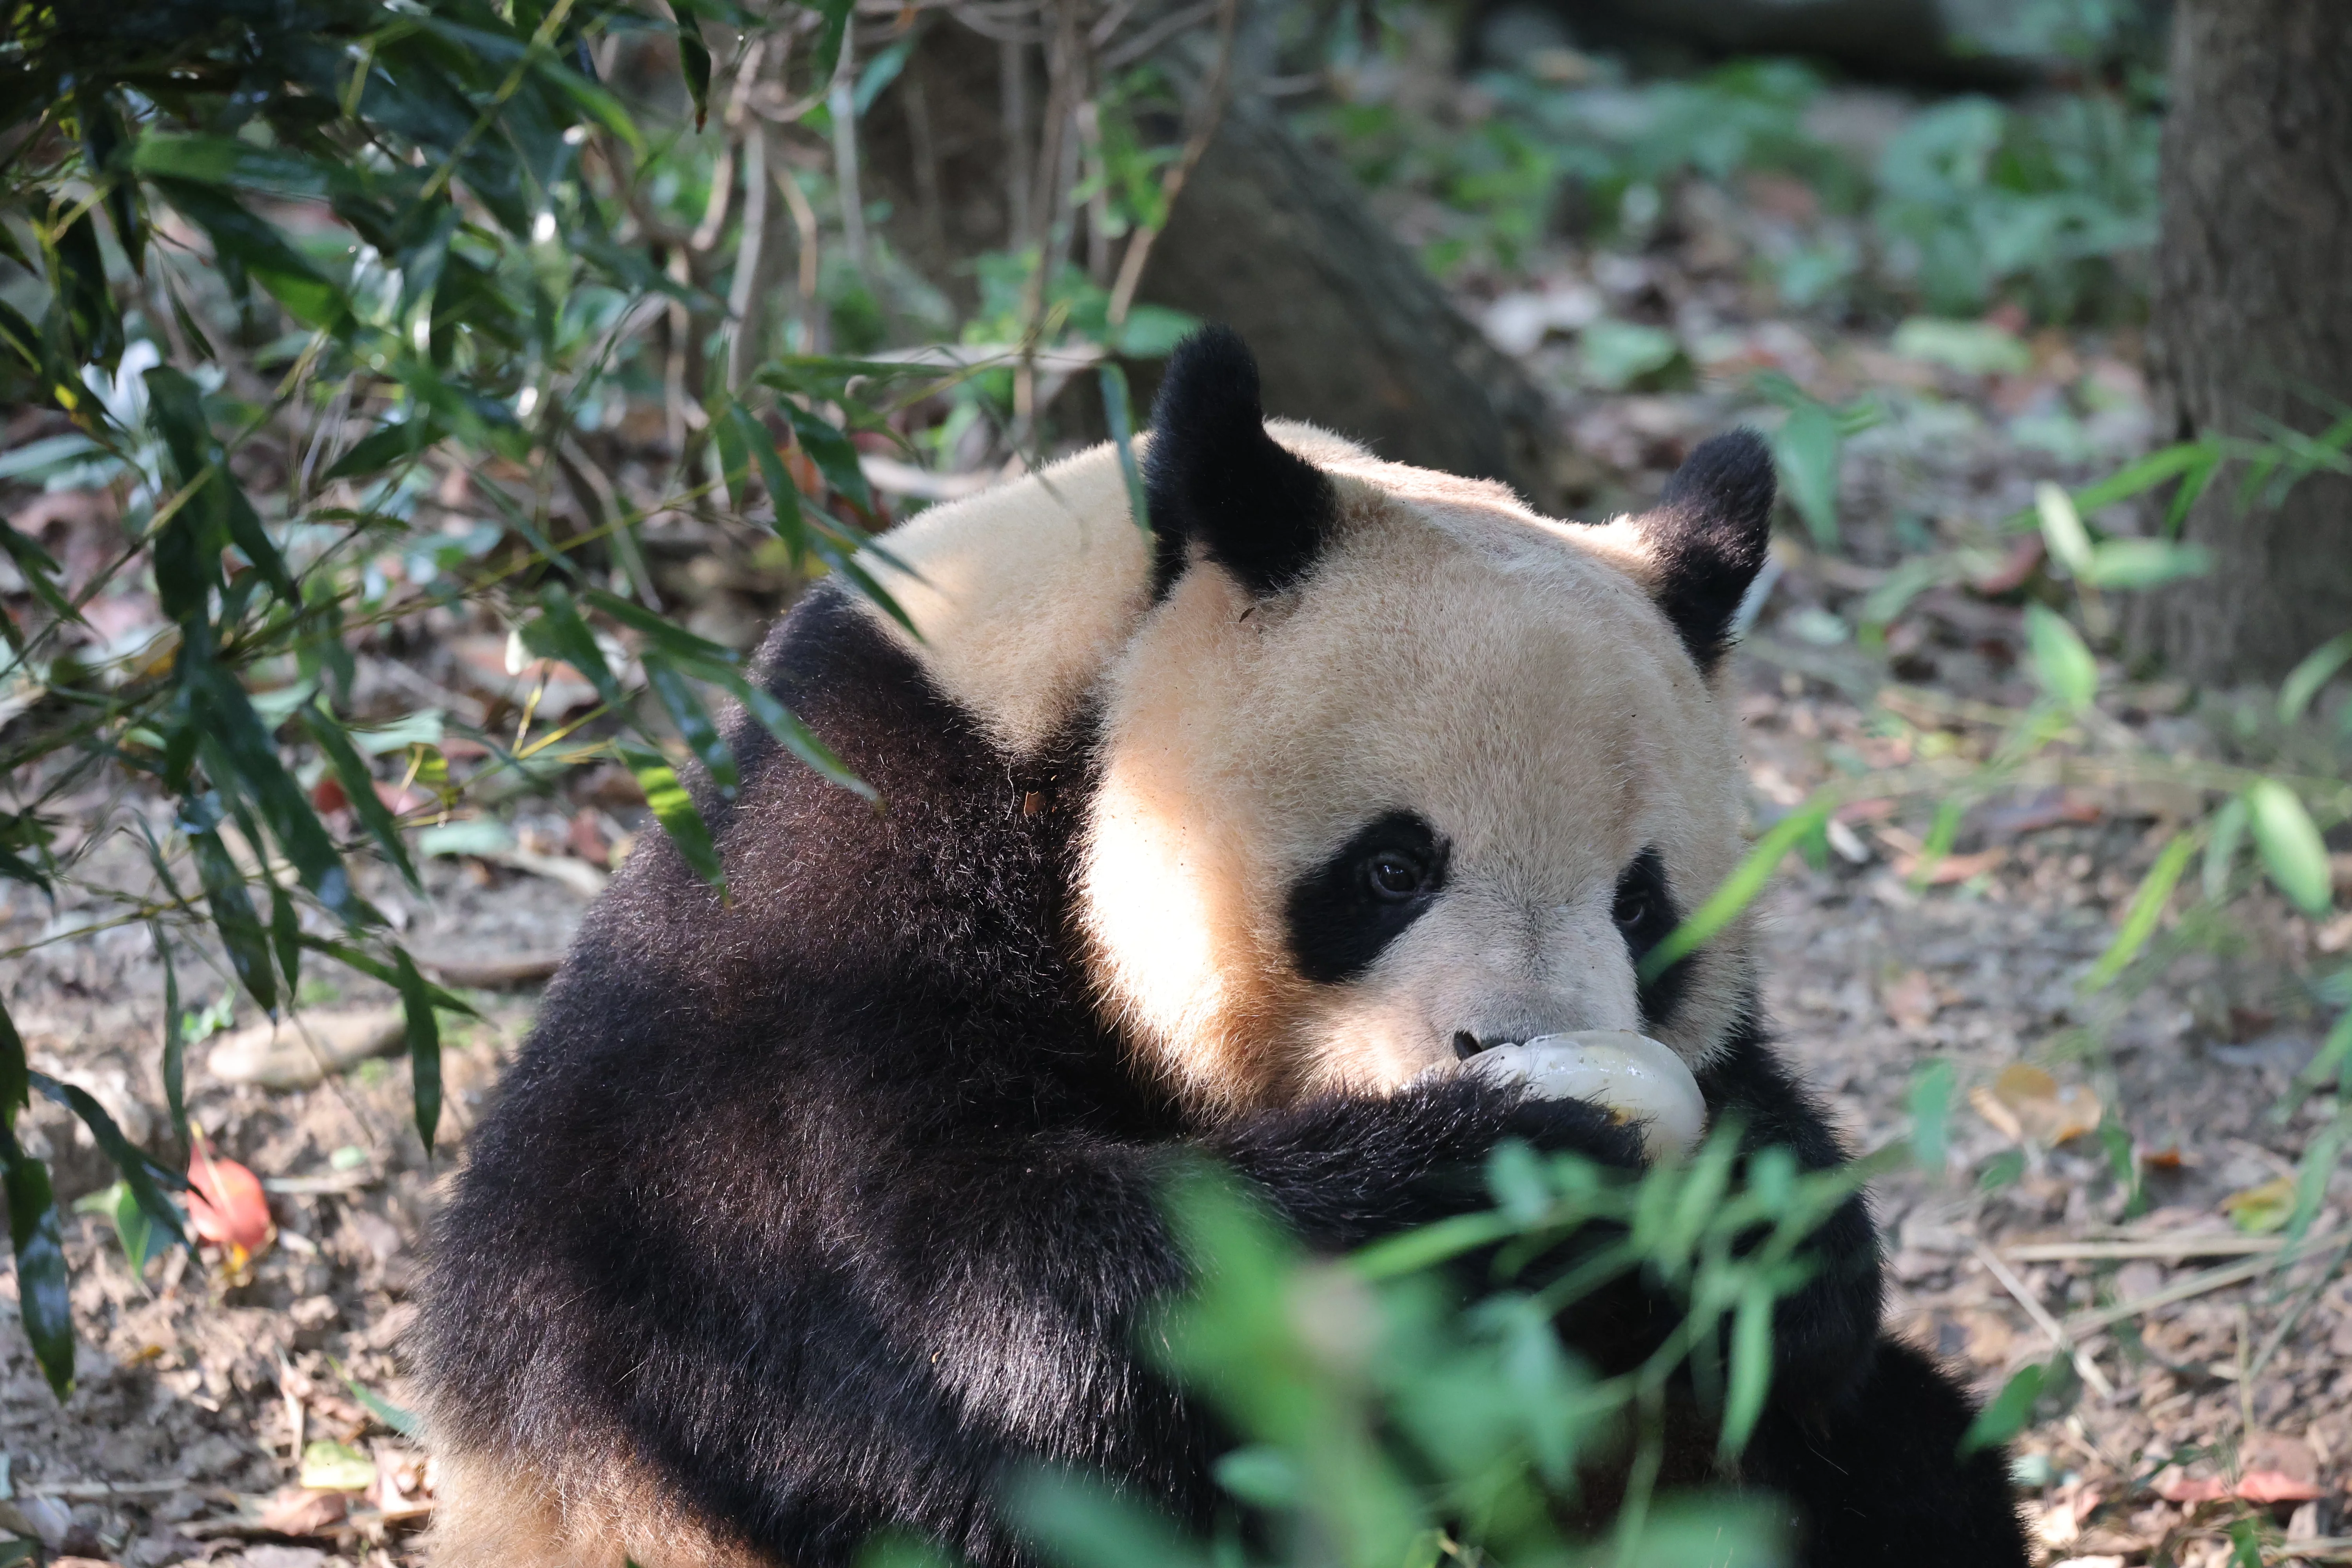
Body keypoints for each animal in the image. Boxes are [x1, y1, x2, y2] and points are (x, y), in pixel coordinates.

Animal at [414, 326, 2028, 1568]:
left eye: (1641, 907)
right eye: (1389, 869)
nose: (1514, 1041)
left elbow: (1806, 1288)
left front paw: (1731, 1222)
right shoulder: (834, 886)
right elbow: (956, 1291)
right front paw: (1510, 1175)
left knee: (1890, 1475)